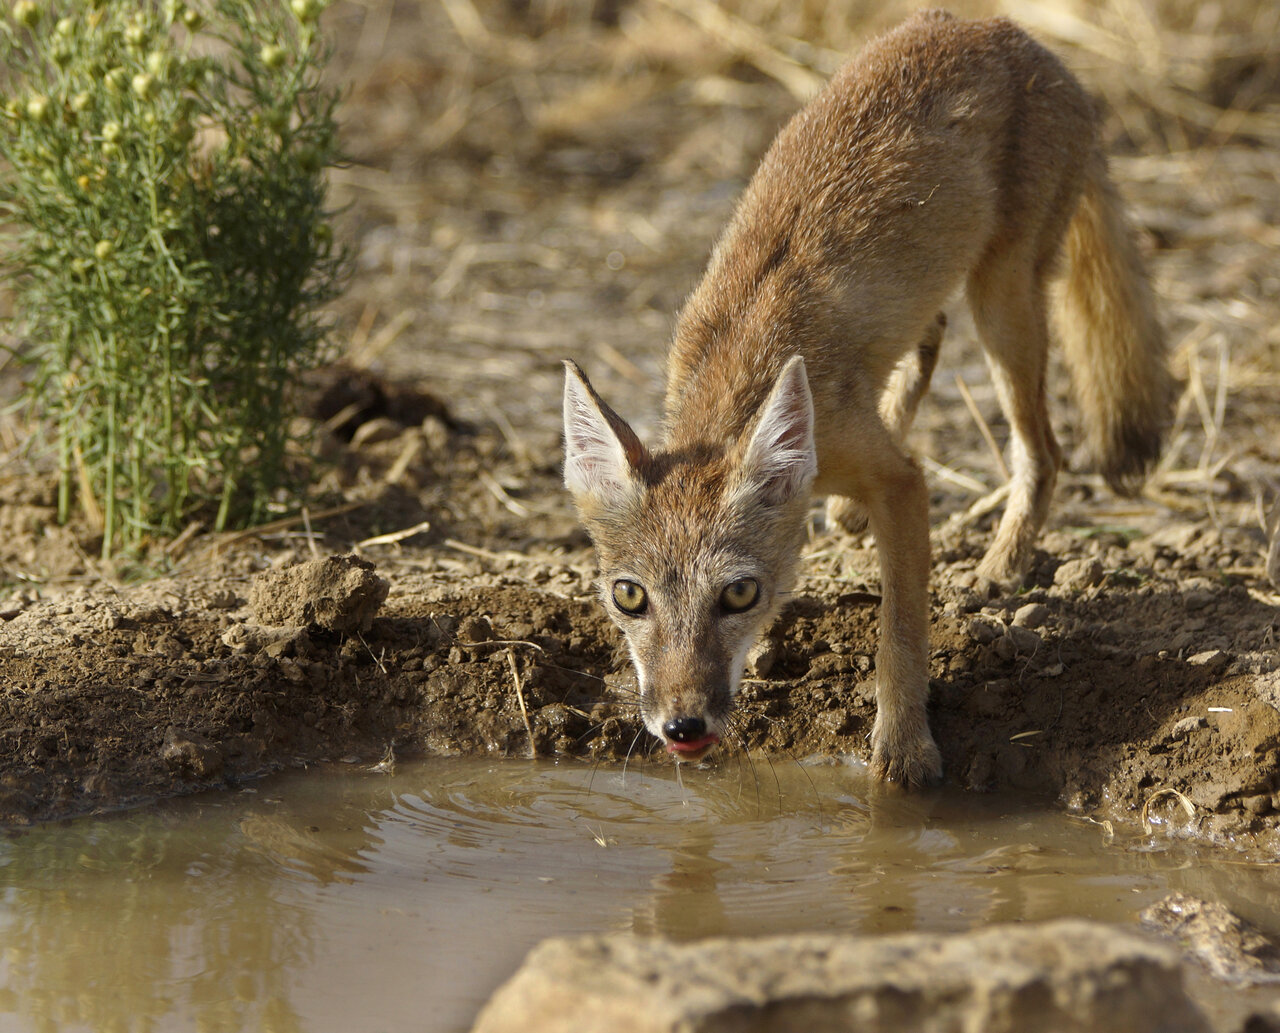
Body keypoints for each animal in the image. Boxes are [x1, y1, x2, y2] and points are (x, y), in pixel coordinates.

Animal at [560, 8, 1172, 788]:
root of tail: (1004, 29)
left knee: (1044, 449)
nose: (683, 727)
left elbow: (901, 633)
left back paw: (1000, 565)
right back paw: (858, 508)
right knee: (929, 340)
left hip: (1003, 303)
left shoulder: (902, 483)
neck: (741, 379)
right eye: (629, 597)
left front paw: (905, 753)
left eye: (739, 594)